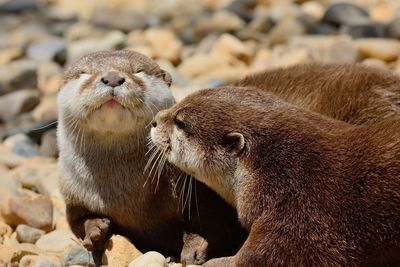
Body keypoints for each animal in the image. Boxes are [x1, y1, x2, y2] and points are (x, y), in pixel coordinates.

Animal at [56, 50, 247, 266]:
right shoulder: (72, 194)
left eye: (138, 71)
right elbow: (75, 222)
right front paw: (95, 229)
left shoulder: (201, 189)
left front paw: (195, 248)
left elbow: (214, 223)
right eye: (84, 73)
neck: (123, 194)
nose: (112, 78)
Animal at [150, 87, 400, 266]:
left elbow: (268, 255)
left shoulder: (303, 214)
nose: (154, 120)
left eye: (180, 122)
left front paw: (218, 262)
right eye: (179, 102)